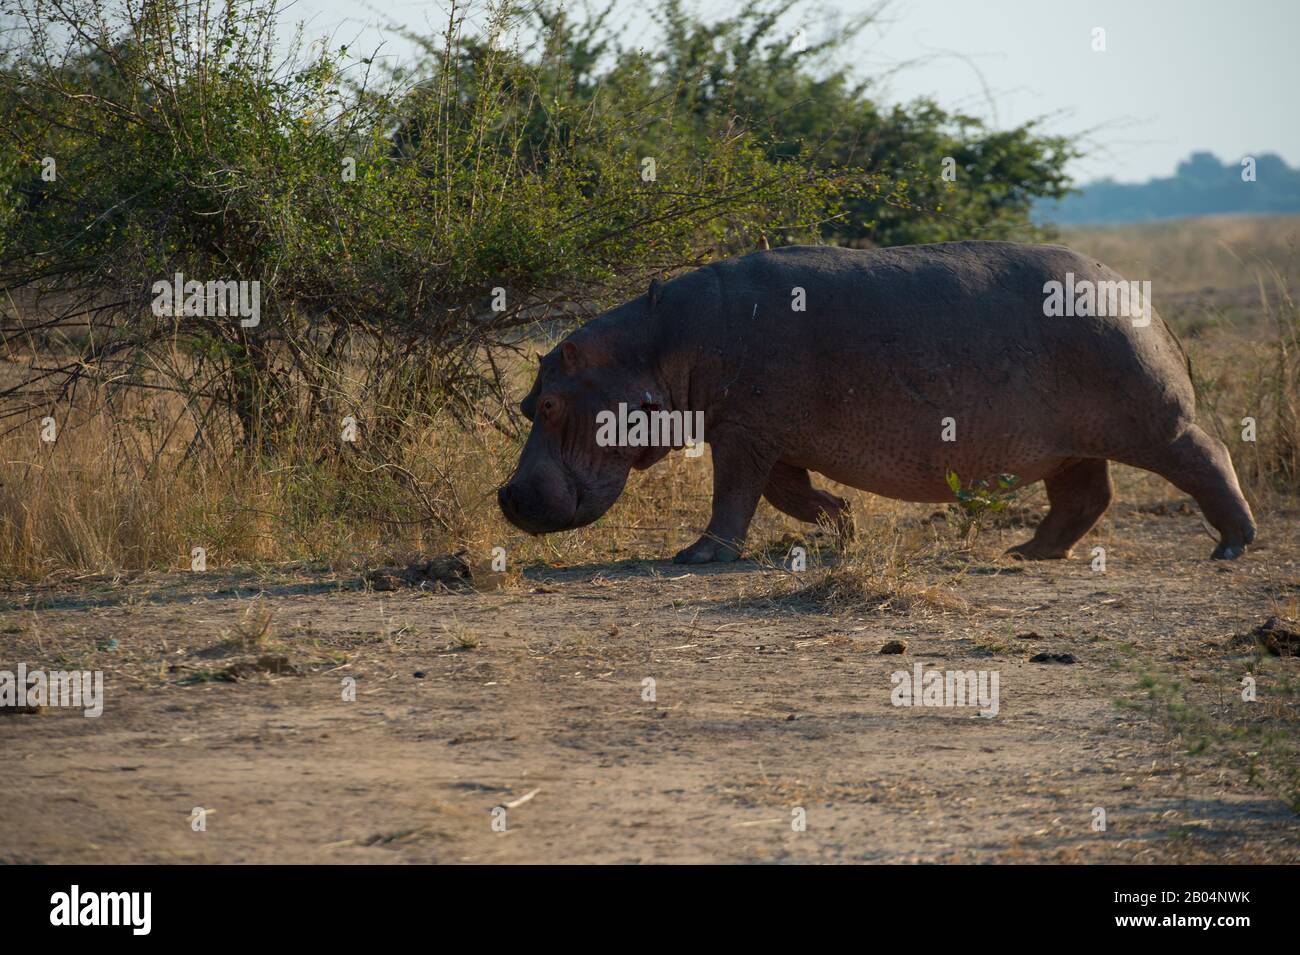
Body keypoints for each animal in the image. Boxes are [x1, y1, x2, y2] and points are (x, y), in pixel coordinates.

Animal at [498, 241, 1256, 563]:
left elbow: (733, 497)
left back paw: (1231, 546)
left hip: (1155, 421)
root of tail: (1135, 293)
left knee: (1208, 455)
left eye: (550, 406)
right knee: (1085, 496)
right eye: (529, 402)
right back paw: (1029, 552)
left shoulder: (742, 433)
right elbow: (790, 493)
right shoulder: (765, 435)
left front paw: (698, 556)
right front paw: (846, 525)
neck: (655, 346)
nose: (507, 496)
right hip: (1072, 444)